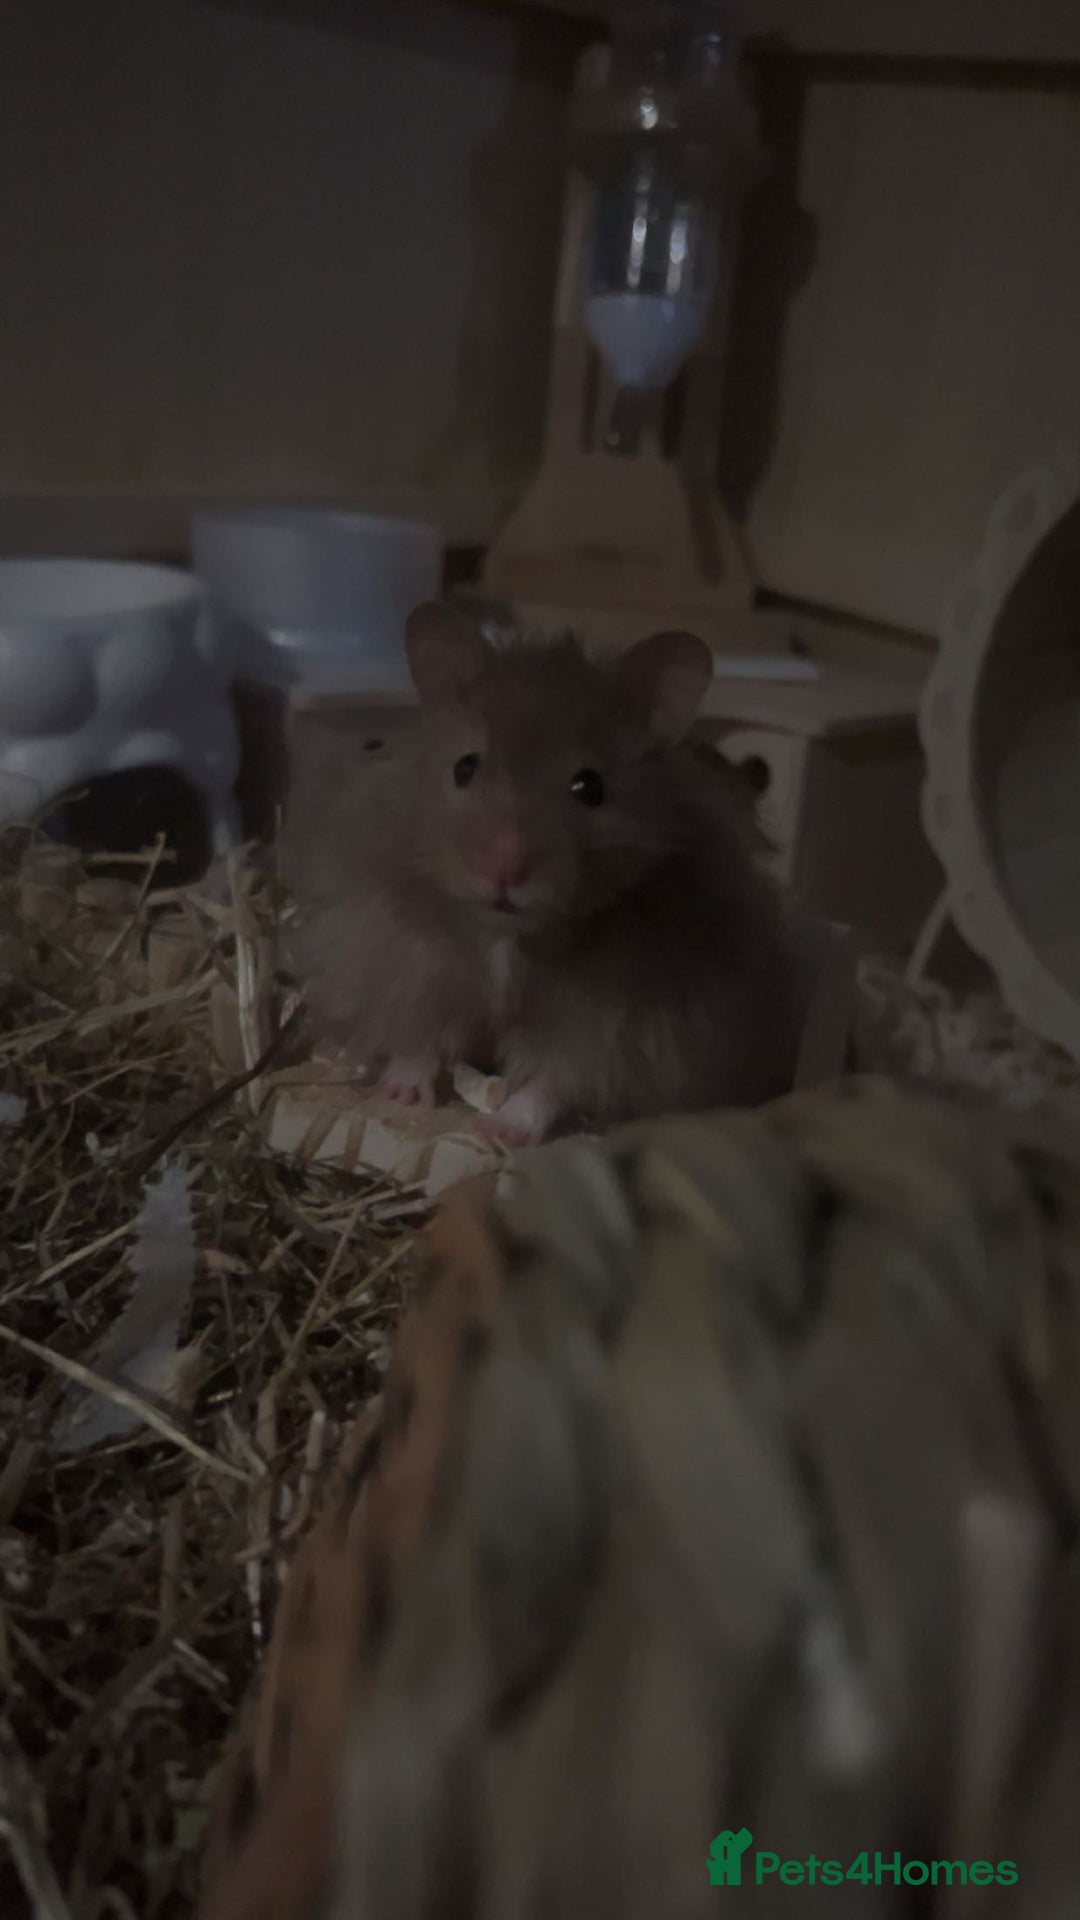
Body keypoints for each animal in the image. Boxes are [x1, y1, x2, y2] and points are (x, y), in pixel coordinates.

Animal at [282, 602, 808, 1147]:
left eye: (590, 786)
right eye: (465, 767)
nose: (504, 865)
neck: (510, 935)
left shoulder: (614, 1025)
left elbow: (551, 1081)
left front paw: (501, 1129)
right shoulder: (406, 962)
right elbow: (419, 1038)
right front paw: (400, 1096)